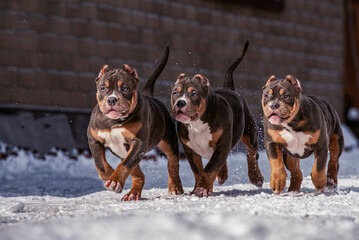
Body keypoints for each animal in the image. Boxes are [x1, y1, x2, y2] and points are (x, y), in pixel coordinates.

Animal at [87, 47, 183, 201]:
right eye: (103, 88)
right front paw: (109, 176)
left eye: (125, 88)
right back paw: (132, 194)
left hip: (168, 142)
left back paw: (175, 187)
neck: (115, 121)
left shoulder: (138, 142)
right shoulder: (94, 139)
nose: (112, 99)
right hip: (124, 151)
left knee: (173, 164)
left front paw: (114, 181)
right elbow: (100, 163)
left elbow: (125, 164)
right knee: (138, 173)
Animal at [170, 42, 266, 198]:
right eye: (175, 93)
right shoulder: (190, 149)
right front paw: (198, 187)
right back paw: (222, 175)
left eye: (194, 93)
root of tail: (231, 90)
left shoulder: (223, 142)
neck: (197, 123)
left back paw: (256, 177)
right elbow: (198, 170)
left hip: (250, 132)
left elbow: (211, 166)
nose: (180, 103)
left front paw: (203, 188)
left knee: (251, 153)